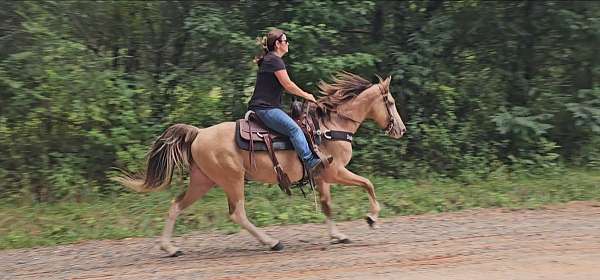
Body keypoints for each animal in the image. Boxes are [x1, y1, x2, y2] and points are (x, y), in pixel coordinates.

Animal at [112, 71, 406, 256]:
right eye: (390, 101)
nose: (401, 129)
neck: (330, 127)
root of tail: (198, 134)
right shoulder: (335, 171)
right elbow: (367, 184)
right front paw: (371, 218)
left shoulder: (322, 177)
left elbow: (327, 206)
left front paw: (339, 236)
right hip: (232, 180)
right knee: (237, 214)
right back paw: (272, 242)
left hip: (203, 181)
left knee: (176, 206)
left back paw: (170, 248)